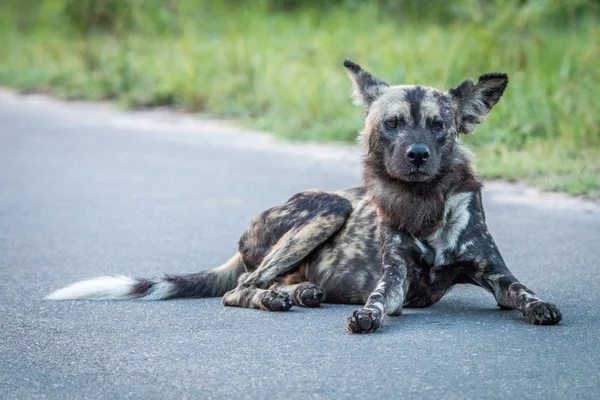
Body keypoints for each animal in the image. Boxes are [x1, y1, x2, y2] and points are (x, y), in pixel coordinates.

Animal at [48, 60, 564, 334]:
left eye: (439, 125)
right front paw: (367, 315)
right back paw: (277, 299)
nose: (417, 155)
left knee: (267, 282)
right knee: (240, 288)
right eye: (392, 123)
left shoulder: (496, 276)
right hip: (328, 208)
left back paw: (298, 293)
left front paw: (540, 307)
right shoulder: (393, 279)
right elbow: (379, 302)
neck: (425, 206)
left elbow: (523, 293)